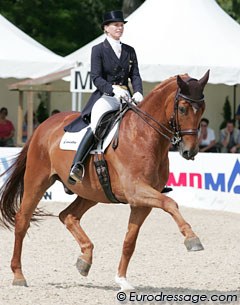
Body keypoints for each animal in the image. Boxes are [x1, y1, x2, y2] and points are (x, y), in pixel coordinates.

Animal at [0, 69, 209, 290]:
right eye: (183, 108)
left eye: (202, 108)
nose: (190, 151)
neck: (144, 135)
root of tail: (43, 125)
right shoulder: (136, 191)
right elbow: (170, 203)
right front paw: (192, 239)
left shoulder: (141, 202)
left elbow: (129, 241)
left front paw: (122, 280)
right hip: (37, 180)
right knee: (23, 221)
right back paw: (18, 275)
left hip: (91, 191)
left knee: (68, 215)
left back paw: (85, 260)